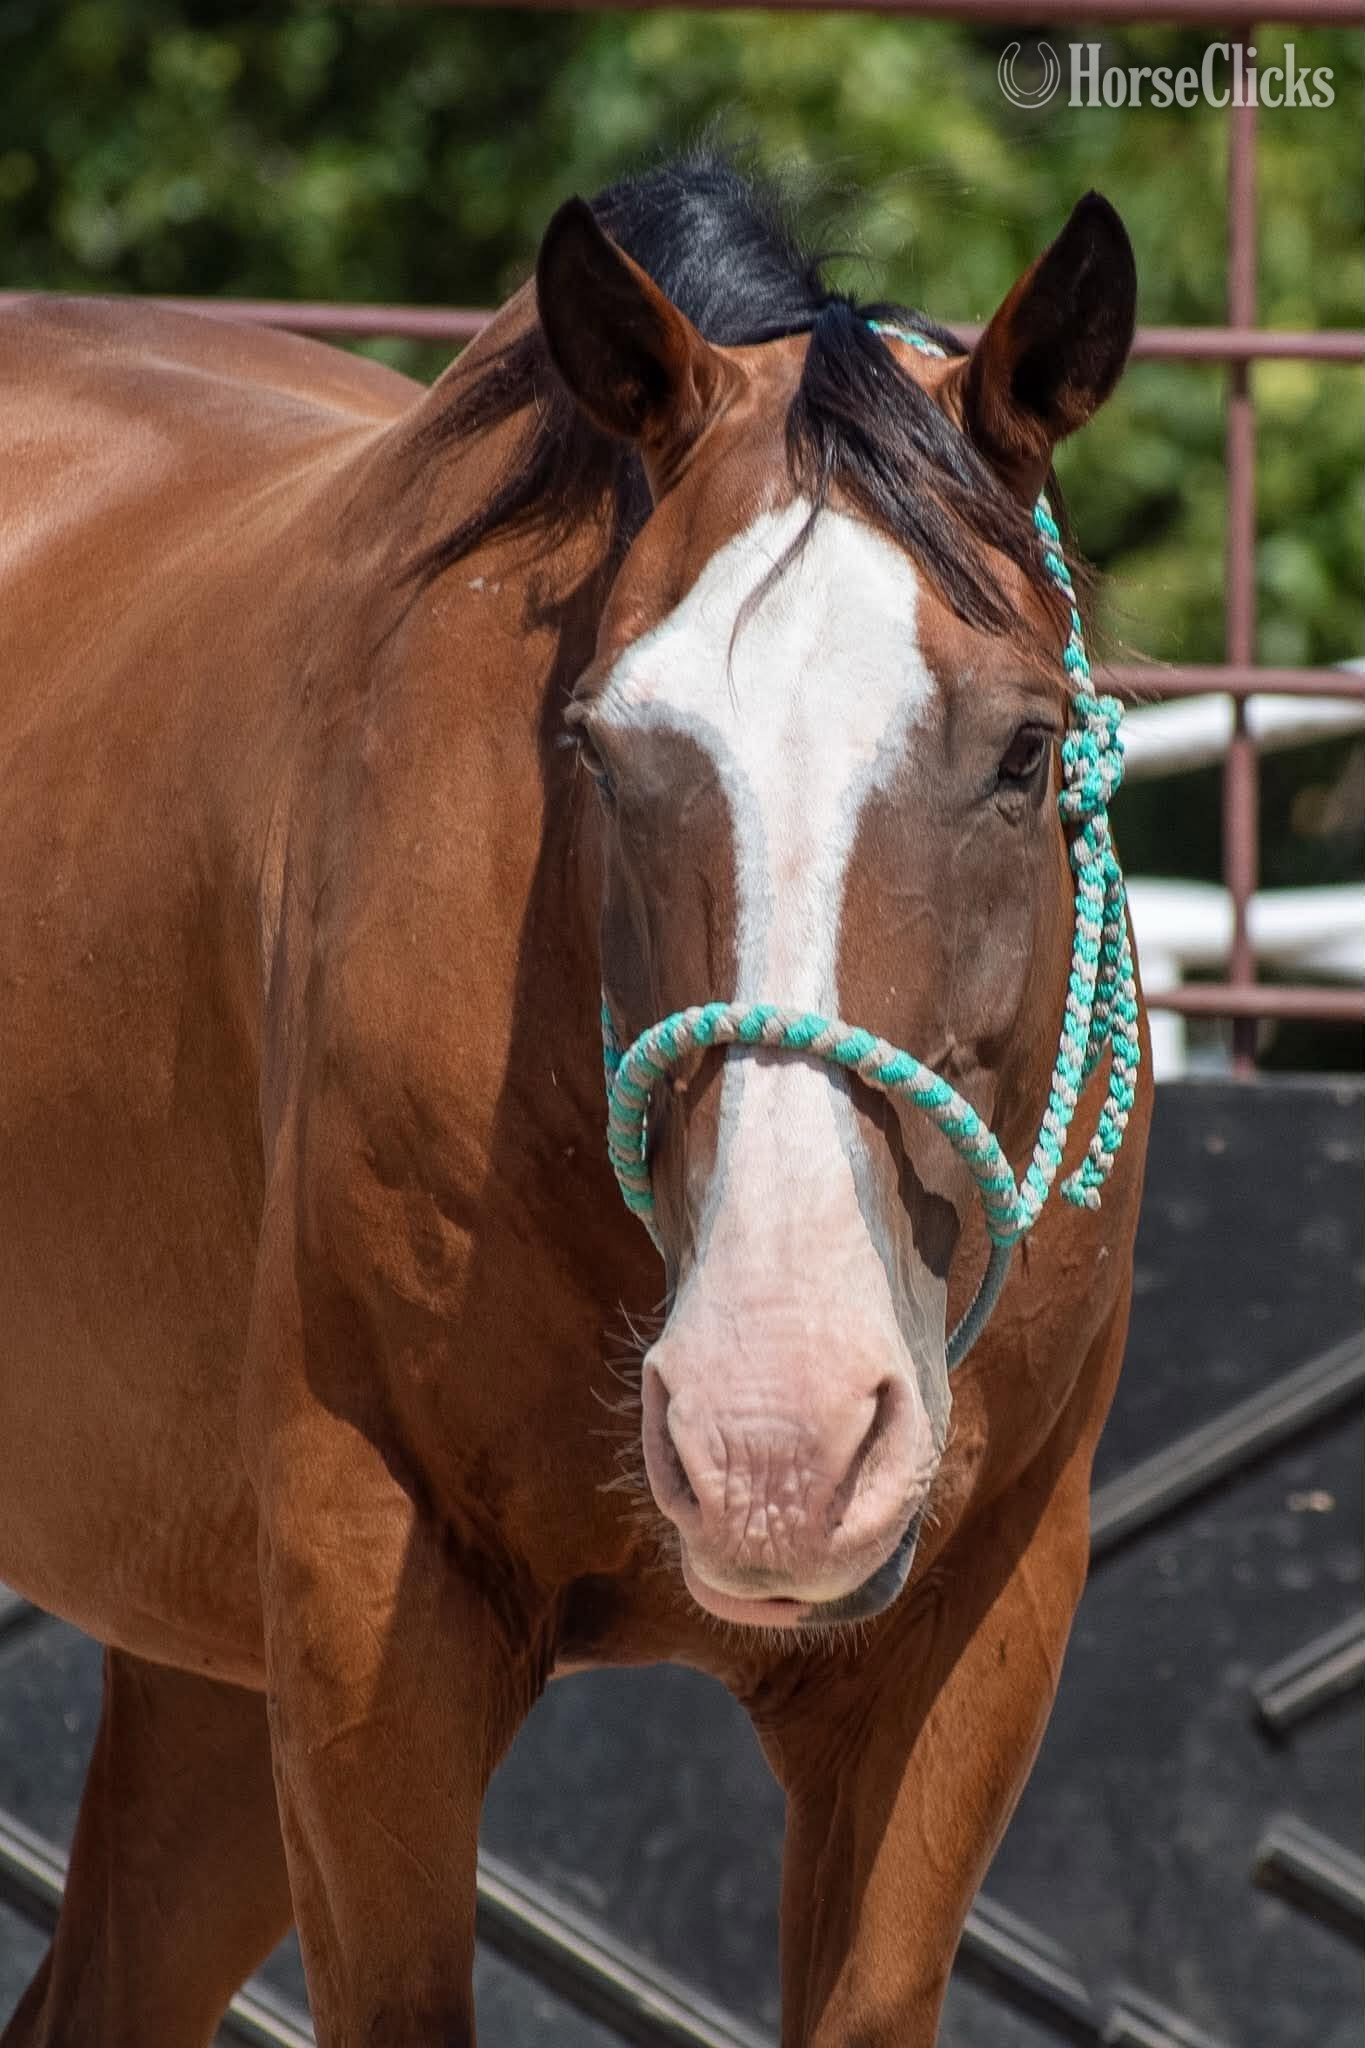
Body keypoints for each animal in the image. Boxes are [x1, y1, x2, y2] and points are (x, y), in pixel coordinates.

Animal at [0, 152, 1151, 2045]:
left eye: (1027, 747)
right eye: (605, 748)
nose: (775, 1437)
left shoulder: (973, 1631)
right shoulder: (365, 1599)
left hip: (202, 1670)